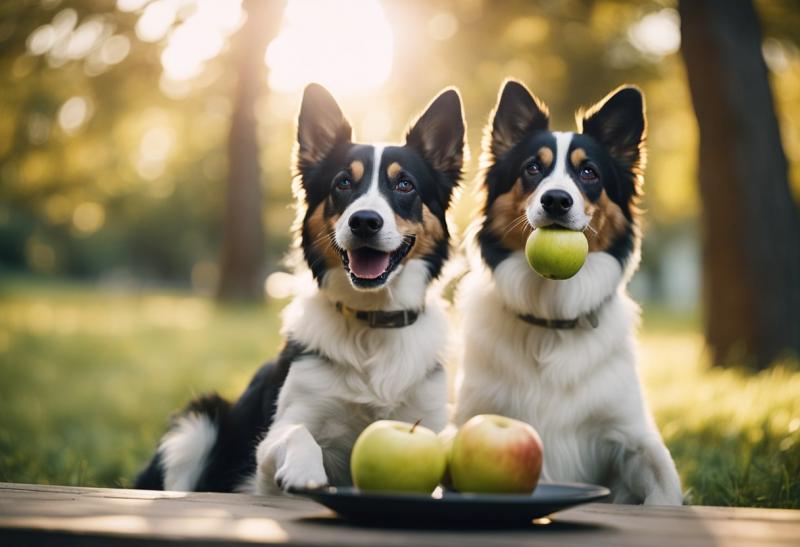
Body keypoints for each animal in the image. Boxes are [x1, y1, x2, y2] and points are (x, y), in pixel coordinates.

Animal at [134, 83, 466, 494]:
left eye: (405, 184)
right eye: (343, 183)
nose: (364, 221)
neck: (372, 322)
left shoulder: (427, 423)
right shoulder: (272, 443)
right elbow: (296, 433)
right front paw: (305, 470)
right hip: (198, 424)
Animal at [454, 80, 684, 506]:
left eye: (588, 172)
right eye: (532, 168)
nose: (557, 200)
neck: (552, 316)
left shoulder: (632, 434)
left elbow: (665, 486)